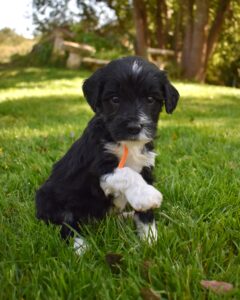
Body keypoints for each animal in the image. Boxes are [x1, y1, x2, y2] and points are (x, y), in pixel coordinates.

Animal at [35, 55, 178, 253]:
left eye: (150, 99)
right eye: (115, 99)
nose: (134, 127)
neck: (127, 145)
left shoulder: (146, 167)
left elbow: (145, 213)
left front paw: (150, 240)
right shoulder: (99, 167)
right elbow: (128, 173)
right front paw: (148, 196)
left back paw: (125, 216)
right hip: (53, 201)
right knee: (67, 225)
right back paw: (80, 247)